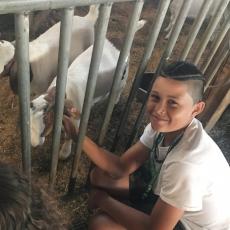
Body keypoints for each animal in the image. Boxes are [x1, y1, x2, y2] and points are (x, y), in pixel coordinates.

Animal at [30, 19, 146, 159]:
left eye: (46, 118)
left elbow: (69, 136)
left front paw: (64, 153)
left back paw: (115, 100)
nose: (34, 143)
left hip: (123, 77)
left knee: (120, 89)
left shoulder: (76, 119)